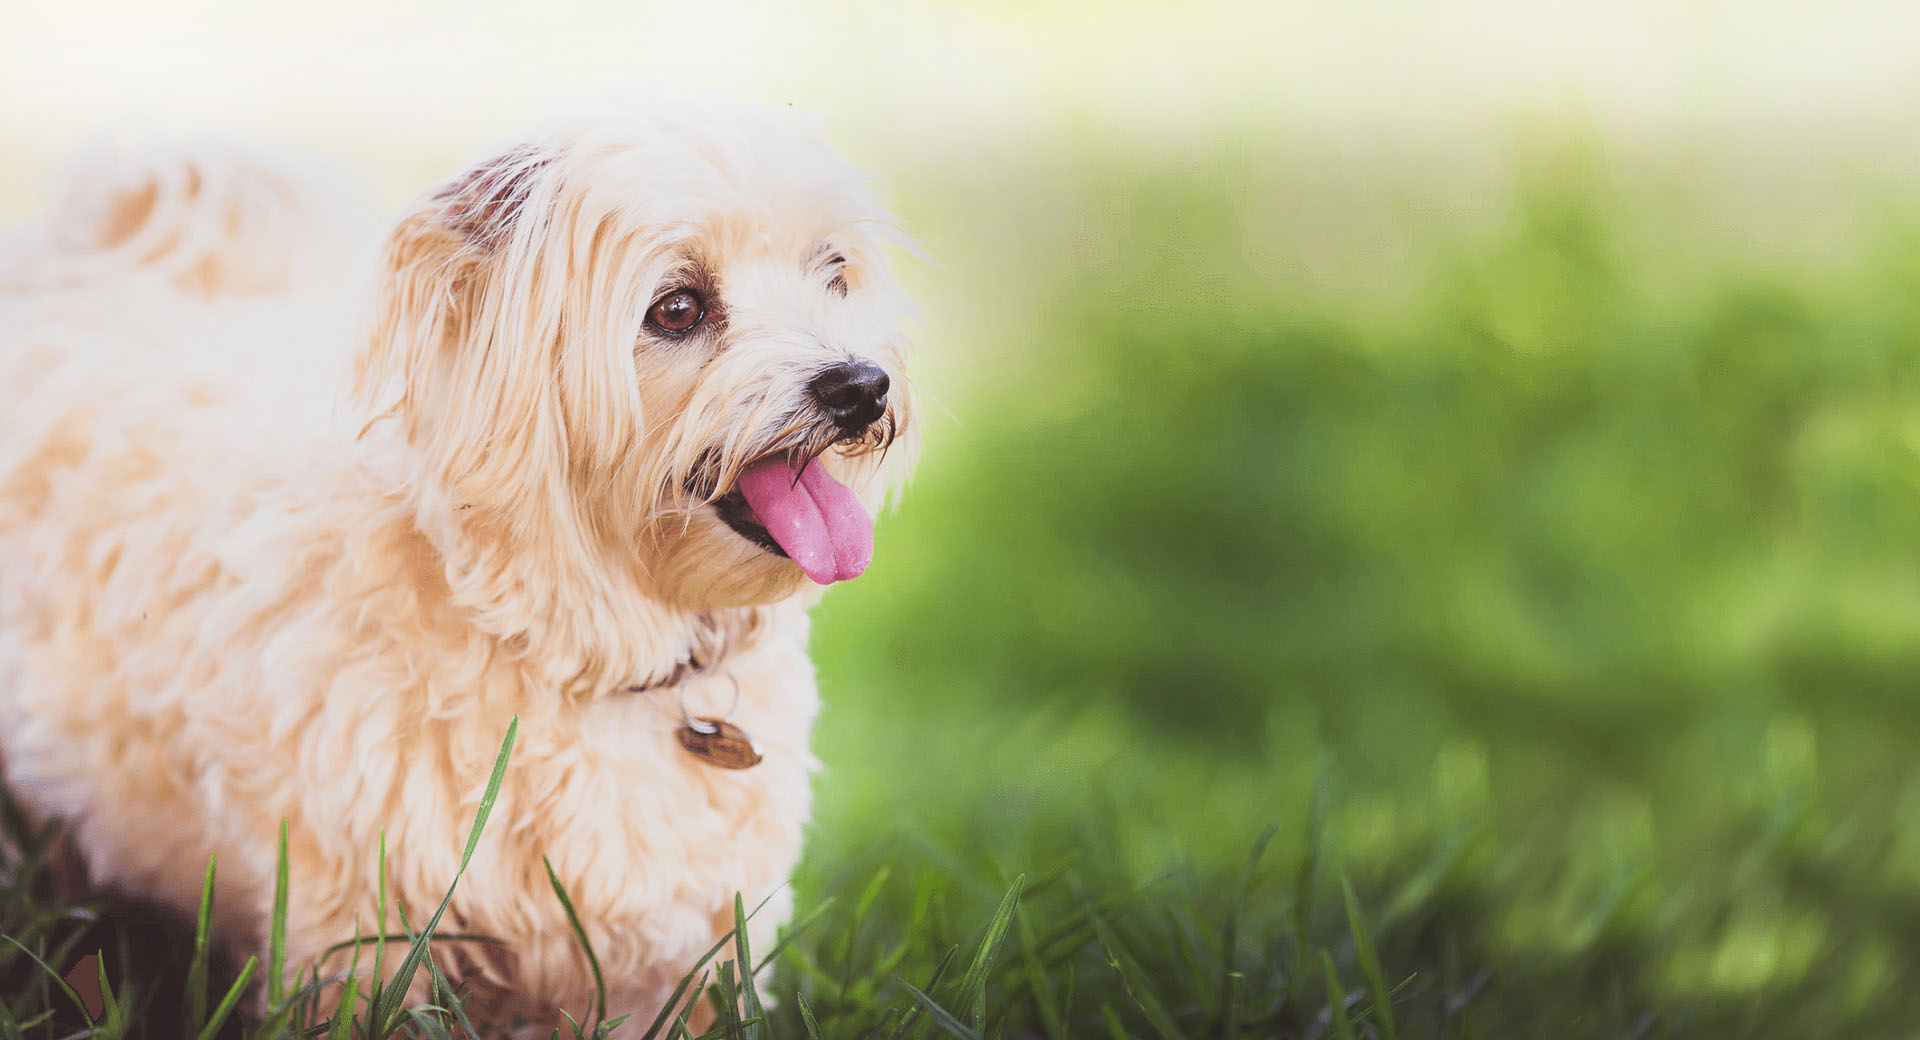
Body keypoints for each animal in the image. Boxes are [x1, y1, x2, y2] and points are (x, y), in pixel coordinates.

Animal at [0, 91, 921, 1036]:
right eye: (676, 308)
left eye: (832, 272)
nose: (860, 385)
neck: (578, 648)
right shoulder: (359, 941)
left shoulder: (681, 967)